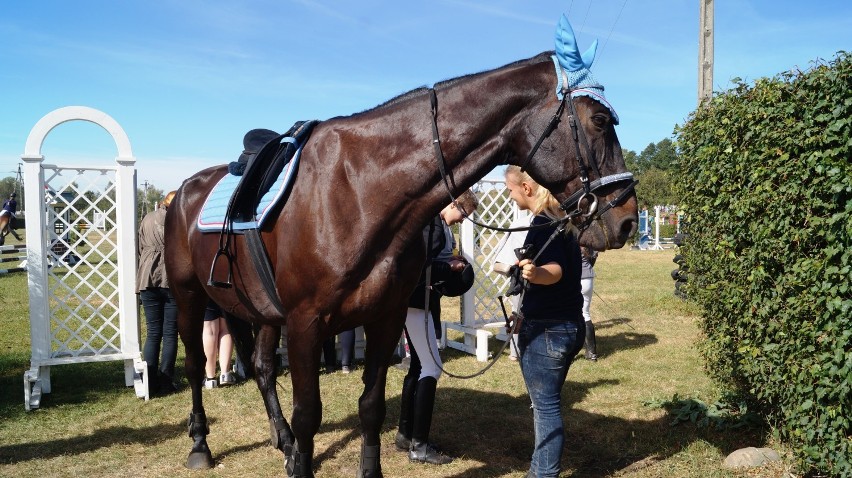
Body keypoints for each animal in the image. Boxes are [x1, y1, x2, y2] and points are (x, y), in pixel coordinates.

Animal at [163, 49, 636, 478]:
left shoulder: (385, 317)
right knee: (195, 367)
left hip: (262, 311)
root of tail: (184, 189)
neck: (360, 190)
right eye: (599, 121)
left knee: (262, 368)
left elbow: (371, 407)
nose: (628, 218)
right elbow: (309, 414)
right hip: (188, 298)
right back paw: (201, 445)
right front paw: (300, 459)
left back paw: (283, 442)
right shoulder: (304, 325)